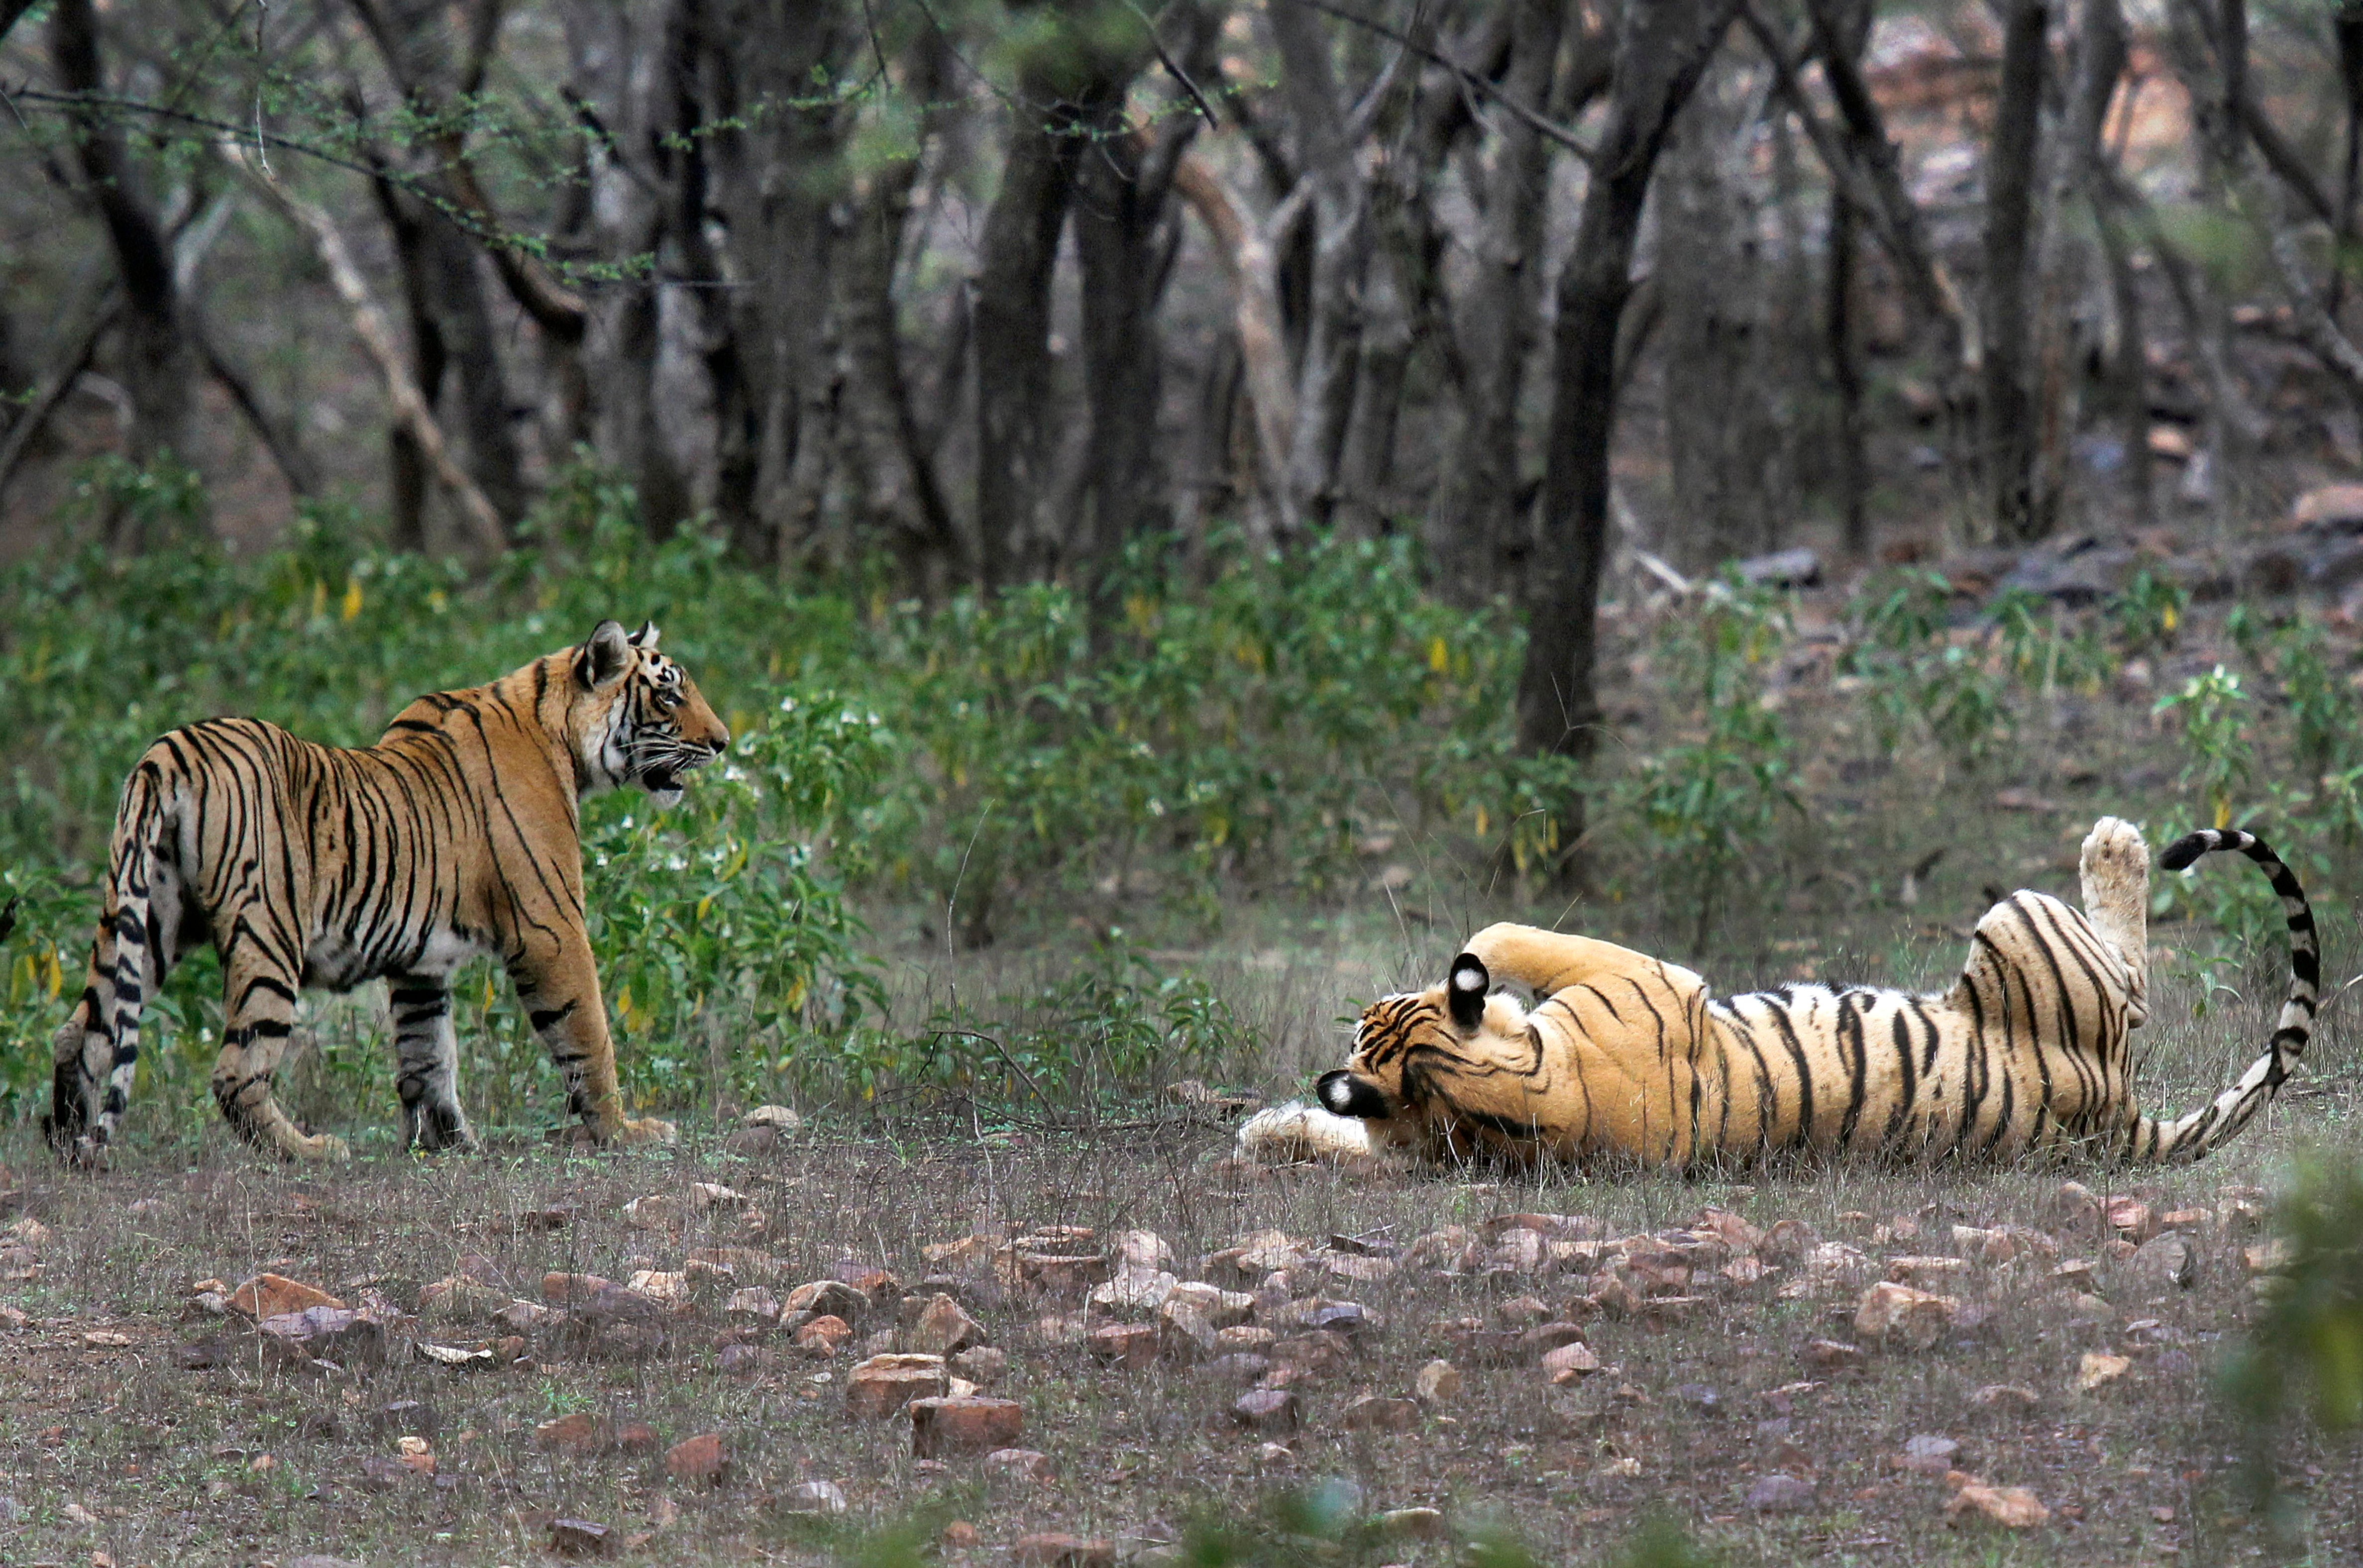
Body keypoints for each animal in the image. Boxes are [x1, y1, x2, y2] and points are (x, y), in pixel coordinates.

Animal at [43, 619, 728, 1157]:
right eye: (669, 695)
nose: (721, 742)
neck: (560, 735)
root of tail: (170, 750)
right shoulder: (550, 928)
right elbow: (588, 1035)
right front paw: (625, 1132)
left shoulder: (420, 962)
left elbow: (428, 1053)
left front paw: (447, 1142)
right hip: (267, 932)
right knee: (236, 1069)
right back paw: (310, 1150)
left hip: (148, 916)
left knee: (83, 1030)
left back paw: (69, 1142)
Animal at [1247, 822, 2316, 1161]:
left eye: (1365, 1020)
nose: (1359, 1009)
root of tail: (2117, 1116)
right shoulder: (1643, 973)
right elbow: (1505, 940)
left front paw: (1266, 1131)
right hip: (2018, 919)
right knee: (2132, 981)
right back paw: (2116, 843)